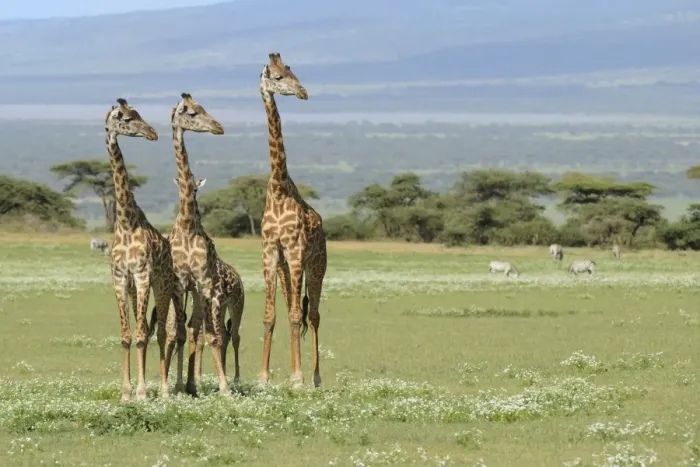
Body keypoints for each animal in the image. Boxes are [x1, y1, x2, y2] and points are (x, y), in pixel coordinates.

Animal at [105, 98, 186, 402]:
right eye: (126, 118)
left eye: (137, 113)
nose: (151, 133)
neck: (126, 223)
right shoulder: (120, 280)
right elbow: (127, 335)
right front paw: (126, 393)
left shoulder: (142, 277)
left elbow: (142, 335)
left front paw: (140, 392)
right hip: (135, 288)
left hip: (162, 287)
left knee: (162, 332)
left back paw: (163, 389)